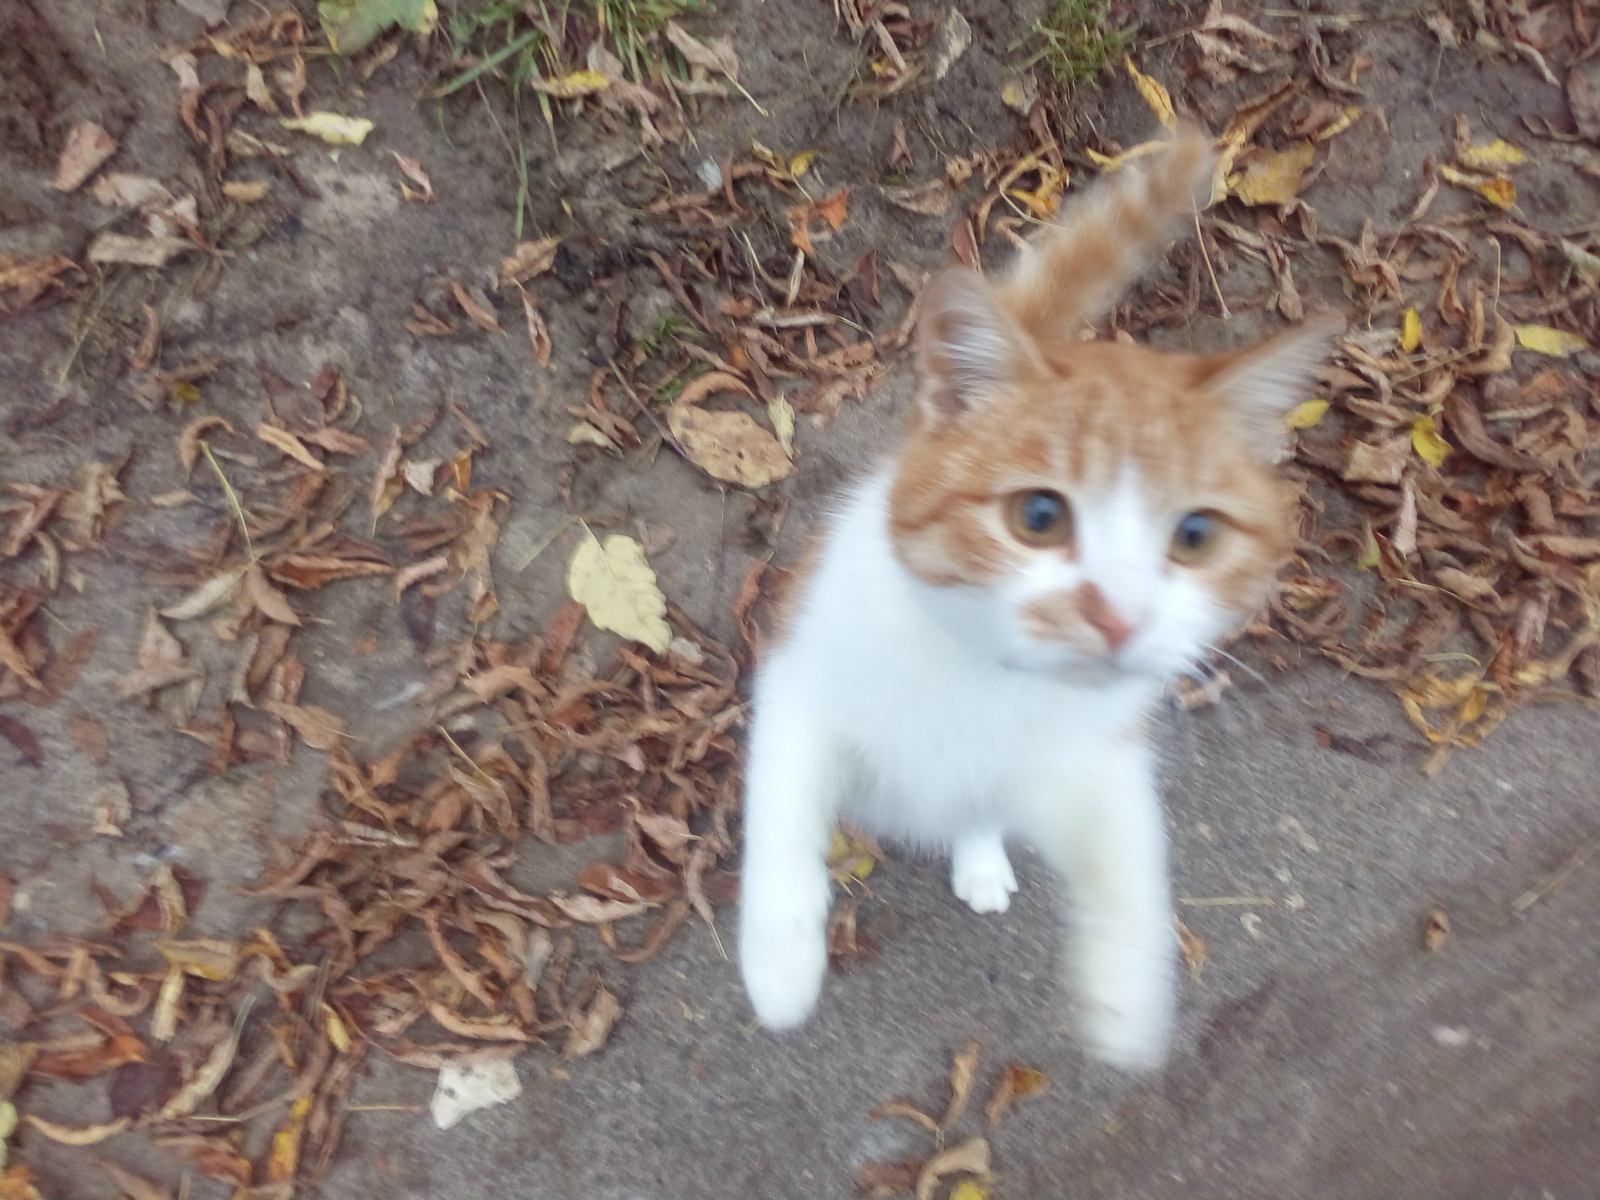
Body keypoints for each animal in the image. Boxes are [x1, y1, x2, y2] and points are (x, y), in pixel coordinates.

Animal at [736, 131, 1337, 1068]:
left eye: (1195, 536)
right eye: (1040, 517)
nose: (1118, 617)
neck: (985, 679)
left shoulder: (1090, 758)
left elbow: (1128, 845)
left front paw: (1127, 989)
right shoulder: (796, 685)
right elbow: (783, 816)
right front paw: (781, 965)